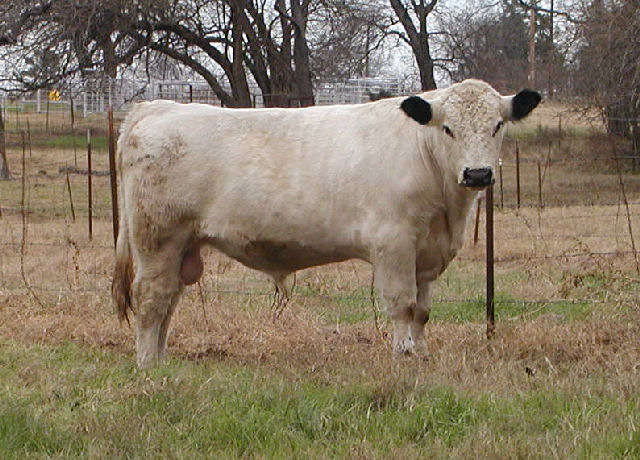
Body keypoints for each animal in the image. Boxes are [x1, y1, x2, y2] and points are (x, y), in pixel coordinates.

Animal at [111, 78, 540, 366]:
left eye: (497, 126)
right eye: (448, 128)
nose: (478, 174)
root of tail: (158, 107)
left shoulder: (428, 254)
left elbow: (422, 310)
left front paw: (420, 353)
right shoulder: (394, 242)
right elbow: (401, 304)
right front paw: (402, 355)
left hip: (181, 247)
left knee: (169, 300)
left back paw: (161, 361)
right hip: (157, 239)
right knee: (150, 298)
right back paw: (147, 365)